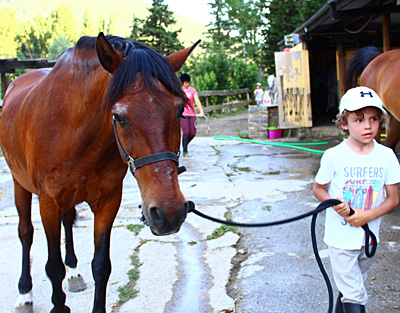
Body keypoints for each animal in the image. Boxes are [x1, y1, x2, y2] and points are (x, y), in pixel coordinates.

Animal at [0, 33, 200, 310]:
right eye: (119, 117)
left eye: (180, 110)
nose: (169, 212)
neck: (73, 131)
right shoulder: (48, 204)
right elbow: (53, 268)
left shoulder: (108, 202)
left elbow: (101, 266)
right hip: (20, 184)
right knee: (26, 233)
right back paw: (24, 293)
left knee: (68, 222)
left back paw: (74, 272)